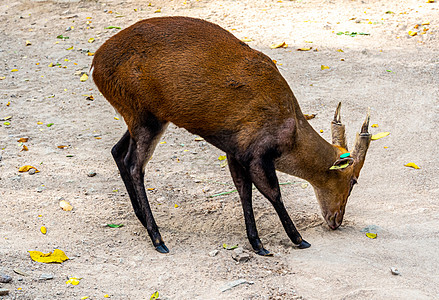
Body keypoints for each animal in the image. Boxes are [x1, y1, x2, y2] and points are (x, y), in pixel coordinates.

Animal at [91, 15, 372, 255]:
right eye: (353, 181)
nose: (336, 220)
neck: (291, 131)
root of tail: (96, 65)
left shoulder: (235, 151)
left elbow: (243, 189)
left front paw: (257, 243)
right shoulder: (257, 153)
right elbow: (272, 192)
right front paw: (298, 239)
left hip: (144, 117)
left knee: (117, 151)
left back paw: (141, 217)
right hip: (144, 117)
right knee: (134, 164)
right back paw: (158, 238)